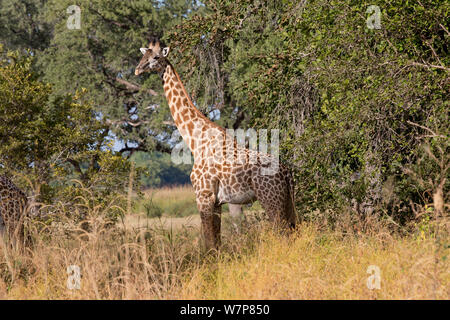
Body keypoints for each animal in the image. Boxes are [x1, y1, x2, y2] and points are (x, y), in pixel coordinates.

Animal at [134, 38, 296, 250]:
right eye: (143, 55)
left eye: (155, 57)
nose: (137, 70)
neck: (196, 141)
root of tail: (287, 173)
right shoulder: (217, 202)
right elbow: (216, 243)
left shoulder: (204, 196)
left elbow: (209, 244)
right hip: (288, 202)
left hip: (271, 200)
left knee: (283, 236)